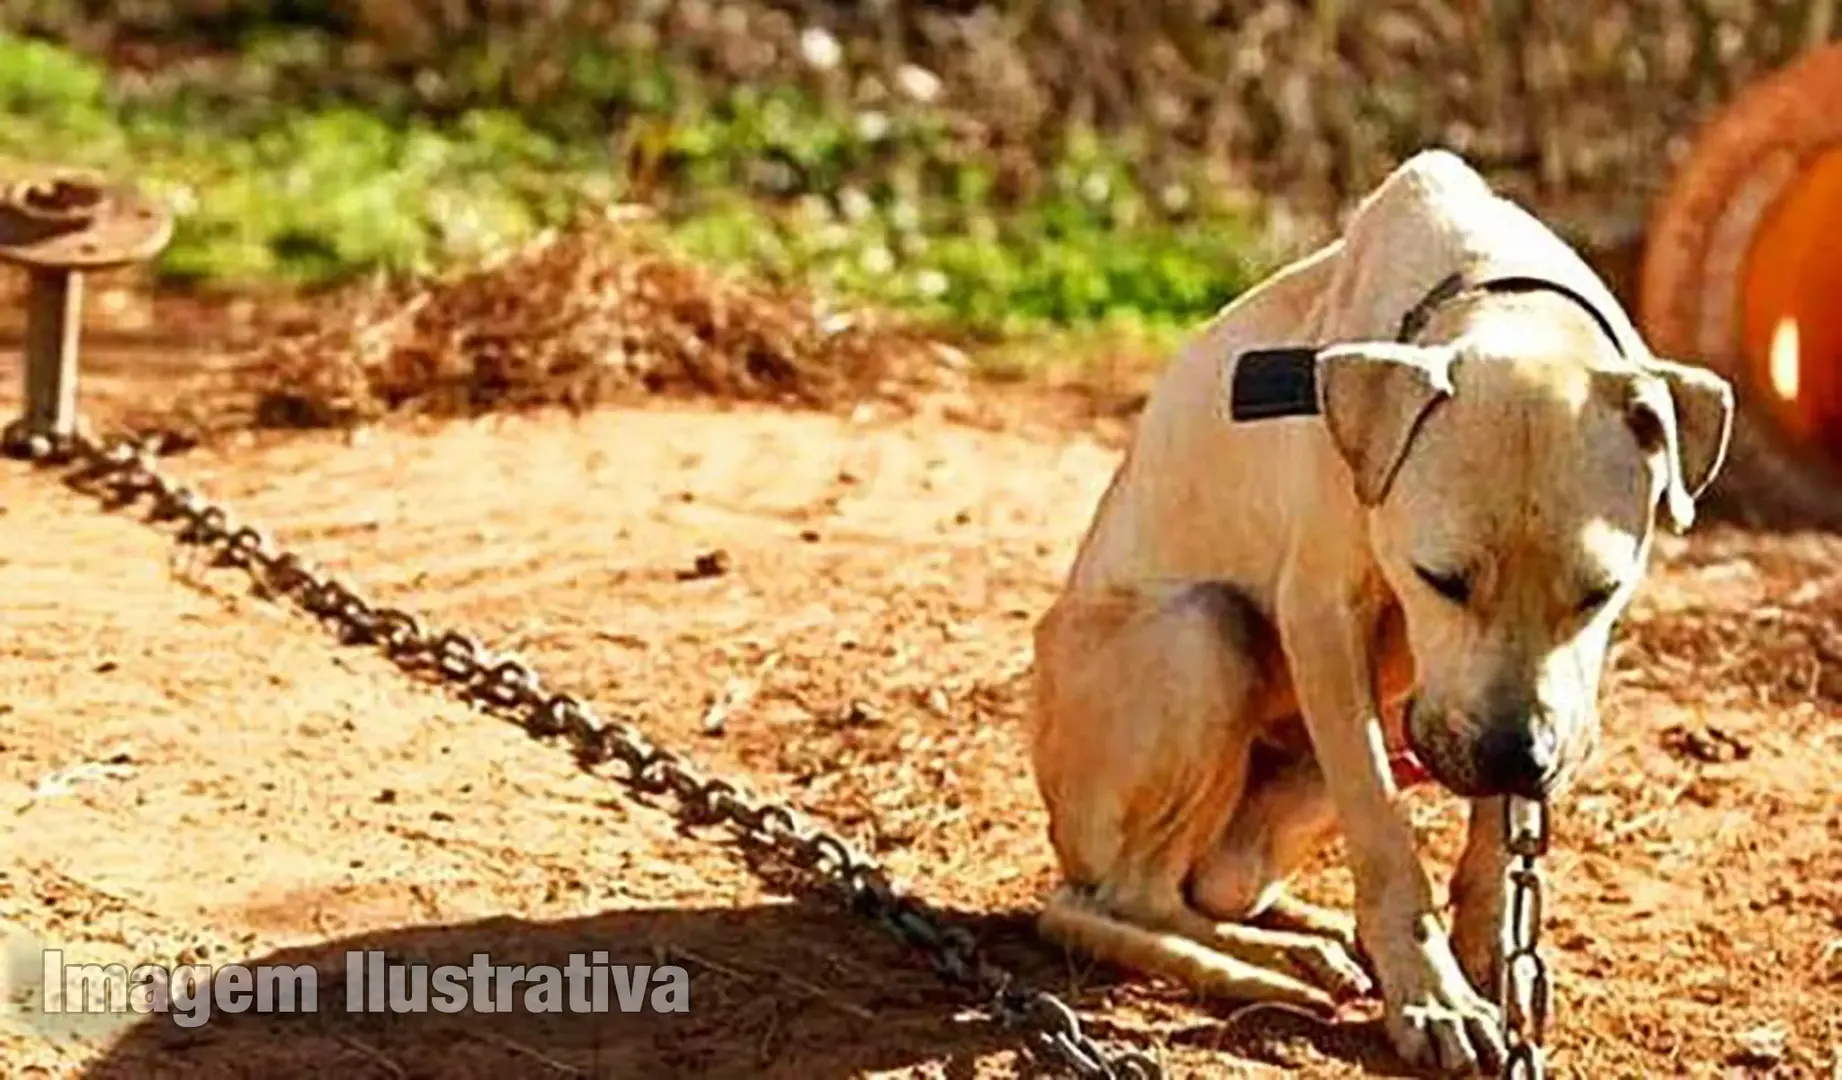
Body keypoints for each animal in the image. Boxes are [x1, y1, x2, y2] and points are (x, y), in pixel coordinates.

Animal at [1031, 149, 1731, 1068]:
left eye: (1600, 592)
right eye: (1440, 580)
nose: (1518, 759)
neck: (1501, 294)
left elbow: (1494, 846)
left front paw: (1488, 959)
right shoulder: (1325, 618)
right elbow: (1387, 839)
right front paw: (1435, 998)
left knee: (1208, 886)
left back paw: (1305, 936)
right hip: (1203, 634)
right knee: (1120, 897)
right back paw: (1272, 968)